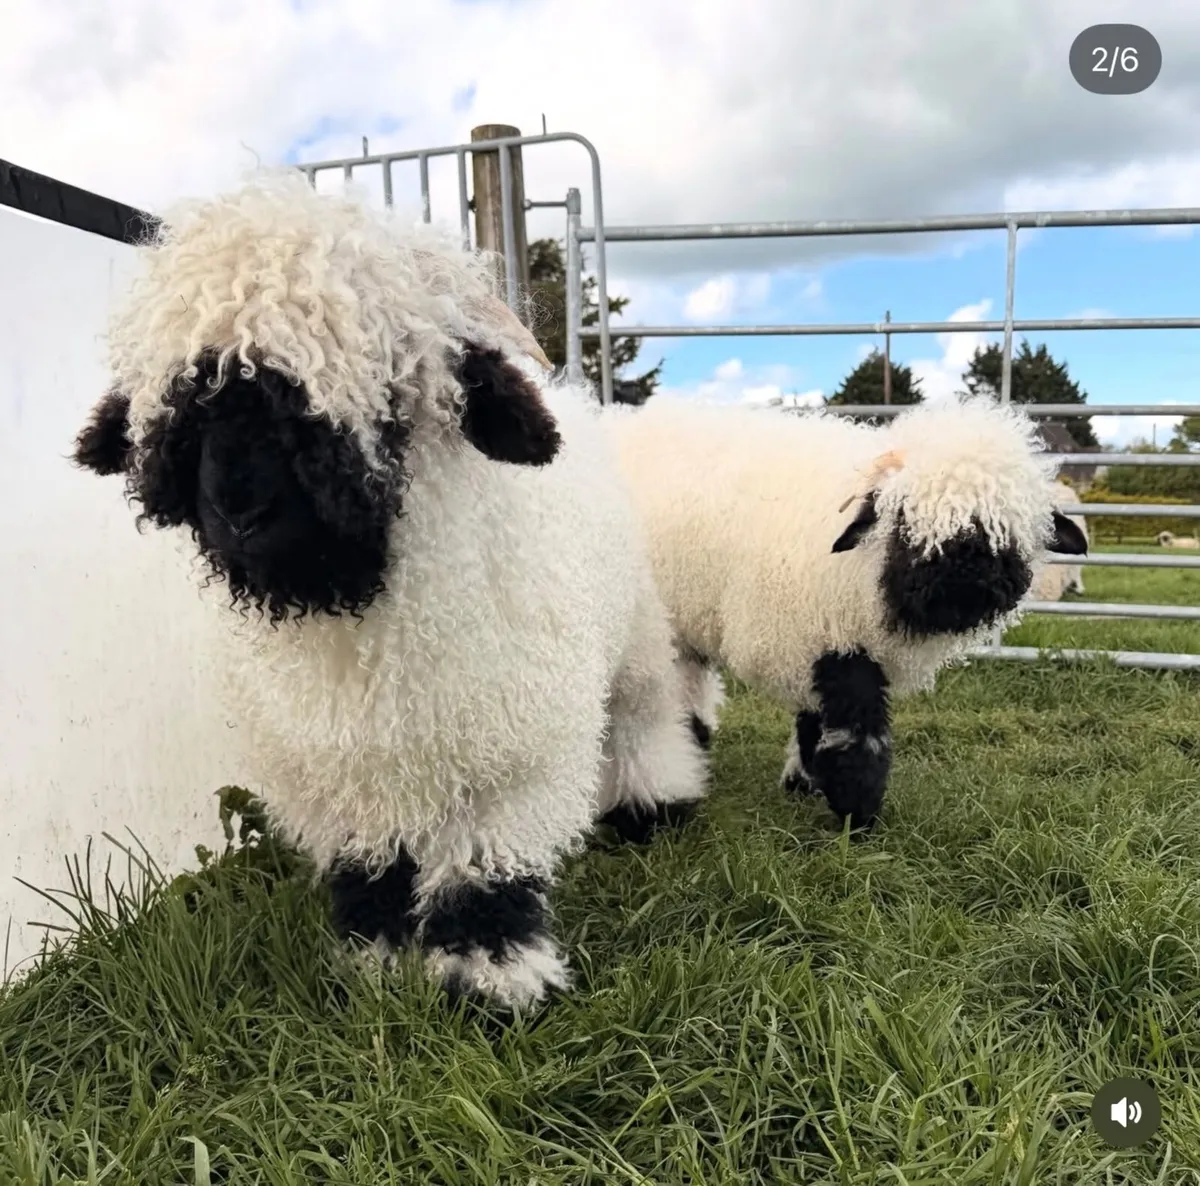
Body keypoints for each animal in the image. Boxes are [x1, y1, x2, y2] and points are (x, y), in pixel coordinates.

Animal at [69, 172, 707, 1014]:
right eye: (185, 404)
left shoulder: (513, 750)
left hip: (632, 639)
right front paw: (373, 960)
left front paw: (491, 978)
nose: (239, 510)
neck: (357, 610)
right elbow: (369, 866)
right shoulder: (333, 771)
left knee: (643, 714)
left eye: (389, 397)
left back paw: (654, 802)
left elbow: (488, 871)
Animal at [604, 394, 1088, 831]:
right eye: (902, 517)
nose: (965, 573)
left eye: (1006, 524)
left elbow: (814, 717)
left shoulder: (825, 637)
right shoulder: (819, 638)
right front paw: (857, 809)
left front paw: (809, 780)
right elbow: (856, 728)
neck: (868, 568)